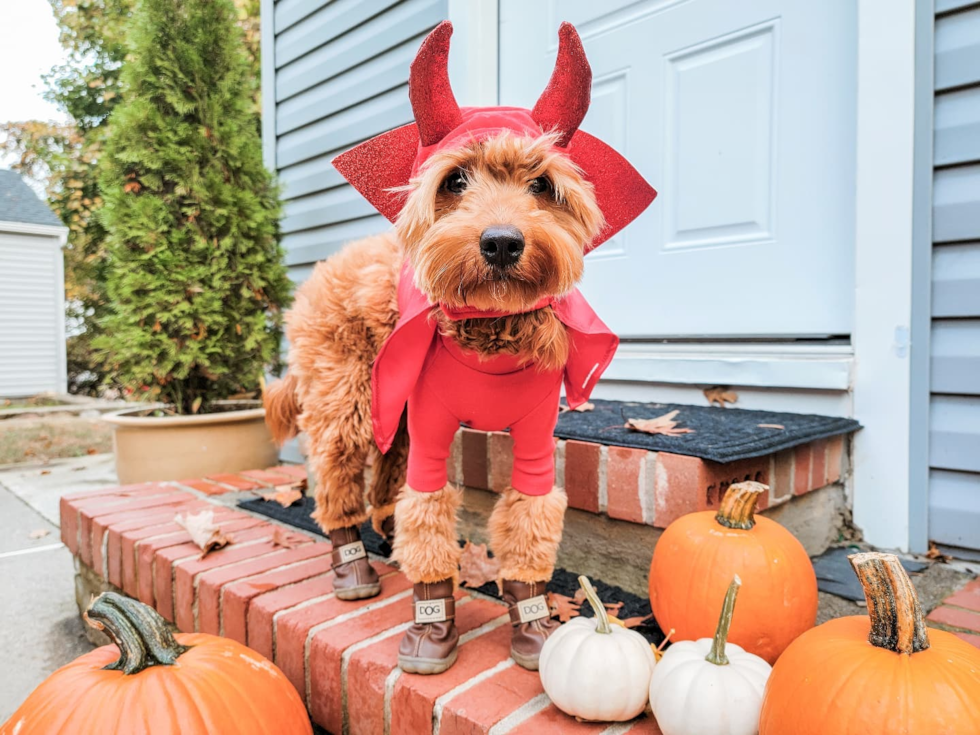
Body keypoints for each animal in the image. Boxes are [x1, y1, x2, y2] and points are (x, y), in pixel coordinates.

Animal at [264, 20, 656, 676]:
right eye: (455, 181)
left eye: (541, 184)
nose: (501, 242)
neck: (490, 331)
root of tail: (325, 267)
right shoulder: (430, 427)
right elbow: (428, 512)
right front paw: (431, 621)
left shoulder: (533, 443)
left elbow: (527, 520)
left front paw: (533, 623)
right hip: (346, 400)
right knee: (337, 476)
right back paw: (353, 562)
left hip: (390, 410)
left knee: (386, 474)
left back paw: (386, 529)